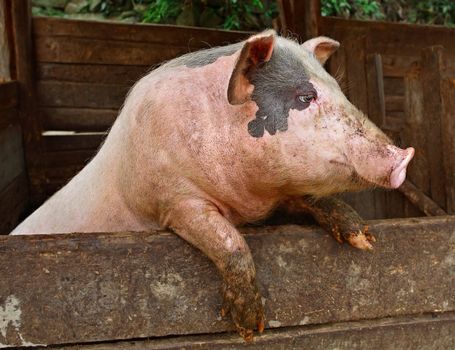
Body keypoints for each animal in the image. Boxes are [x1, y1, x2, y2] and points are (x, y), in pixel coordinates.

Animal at [11, 30, 416, 342]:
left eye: (340, 91)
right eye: (305, 97)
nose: (405, 155)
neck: (248, 201)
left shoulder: (275, 199)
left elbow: (310, 199)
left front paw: (364, 239)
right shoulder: (172, 202)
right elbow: (226, 238)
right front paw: (250, 327)